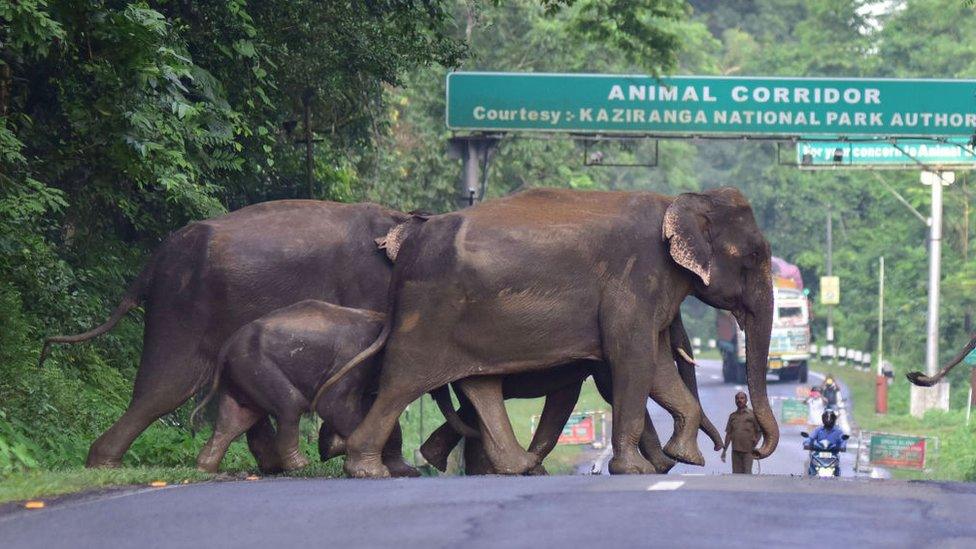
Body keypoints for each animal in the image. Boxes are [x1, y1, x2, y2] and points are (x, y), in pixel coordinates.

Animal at [194, 300, 416, 476]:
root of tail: (224, 349)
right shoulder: (352, 356)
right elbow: (332, 404)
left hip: (242, 374)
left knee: (235, 419)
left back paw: (204, 468)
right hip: (254, 365)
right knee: (290, 405)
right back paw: (300, 466)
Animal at [320, 187, 776, 476]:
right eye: (755, 255)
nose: (726, 449)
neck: (678, 202)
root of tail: (407, 253)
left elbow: (657, 365)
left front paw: (683, 460)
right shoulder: (633, 281)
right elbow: (634, 360)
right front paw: (640, 469)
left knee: (478, 385)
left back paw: (511, 467)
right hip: (427, 315)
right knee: (401, 382)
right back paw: (369, 470)